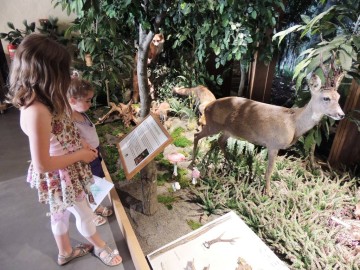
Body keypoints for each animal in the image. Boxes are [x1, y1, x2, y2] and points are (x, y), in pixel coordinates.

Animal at [193, 72, 344, 194]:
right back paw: (193, 163)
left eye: (338, 97)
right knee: (197, 136)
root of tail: (207, 106)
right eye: (326, 98)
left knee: (219, 142)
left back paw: (229, 165)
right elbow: (269, 170)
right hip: (213, 125)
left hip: (227, 131)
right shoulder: (273, 144)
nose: (341, 115)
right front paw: (268, 192)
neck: (294, 123)